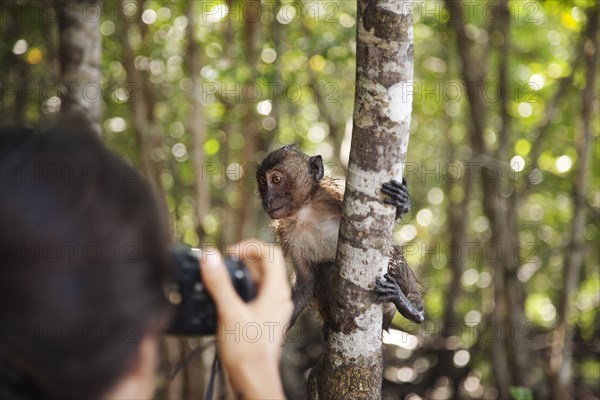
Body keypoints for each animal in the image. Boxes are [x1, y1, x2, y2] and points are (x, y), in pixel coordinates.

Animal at [255, 144, 424, 332]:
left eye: (276, 179)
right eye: (263, 182)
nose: (268, 199)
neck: (305, 211)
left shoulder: (335, 197)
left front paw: (402, 202)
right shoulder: (286, 231)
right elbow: (305, 284)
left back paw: (412, 308)